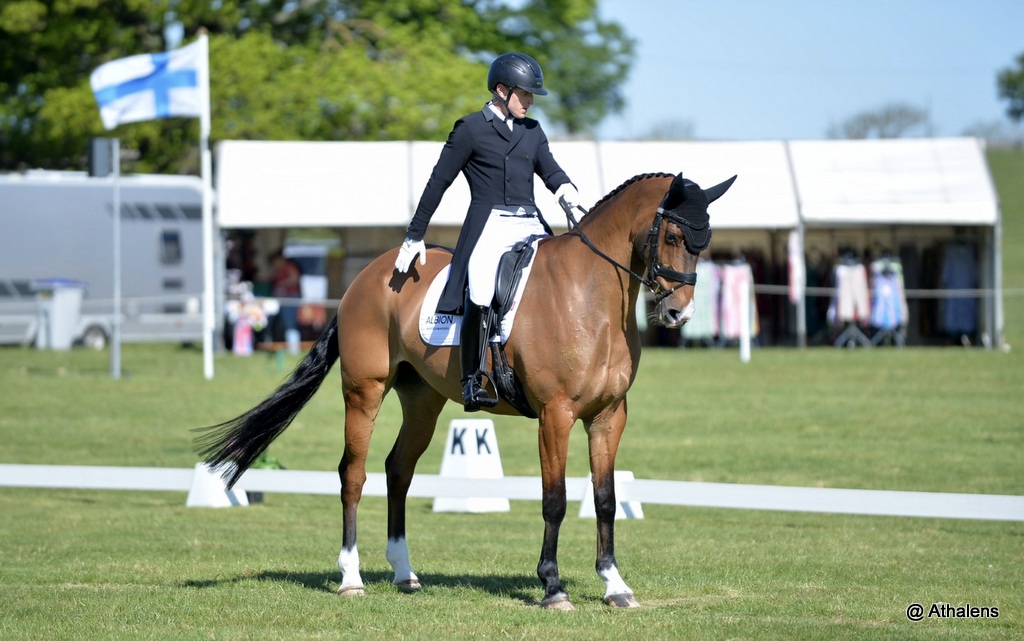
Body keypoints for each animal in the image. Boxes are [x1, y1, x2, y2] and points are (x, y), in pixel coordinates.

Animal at [196, 171, 736, 610]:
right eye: (672, 235)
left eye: (705, 241)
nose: (679, 314)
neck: (590, 297)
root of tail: (366, 278)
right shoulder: (556, 414)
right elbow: (555, 499)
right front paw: (552, 586)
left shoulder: (609, 415)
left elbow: (605, 498)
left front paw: (615, 585)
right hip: (364, 391)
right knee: (354, 473)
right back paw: (351, 577)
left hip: (422, 400)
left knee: (398, 469)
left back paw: (405, 573)